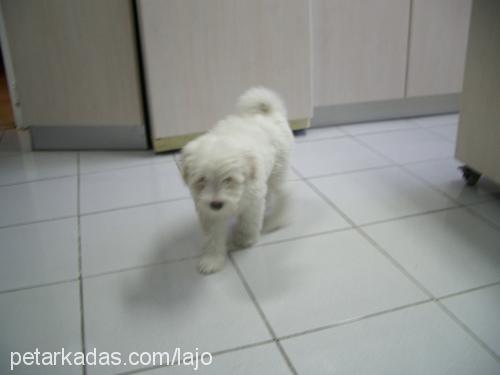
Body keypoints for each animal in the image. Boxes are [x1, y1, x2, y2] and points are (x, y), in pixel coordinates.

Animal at [182, 89, 294, 274]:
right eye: (202, 179)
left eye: (229, 179)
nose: (216, 204)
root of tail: (269, 112)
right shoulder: (208, 212)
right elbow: (213, 236)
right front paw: (212, 260)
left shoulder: (253, 201)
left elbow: (249, 222)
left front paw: (244, 240)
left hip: (278, 170)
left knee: (284, 194)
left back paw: (275, 221)